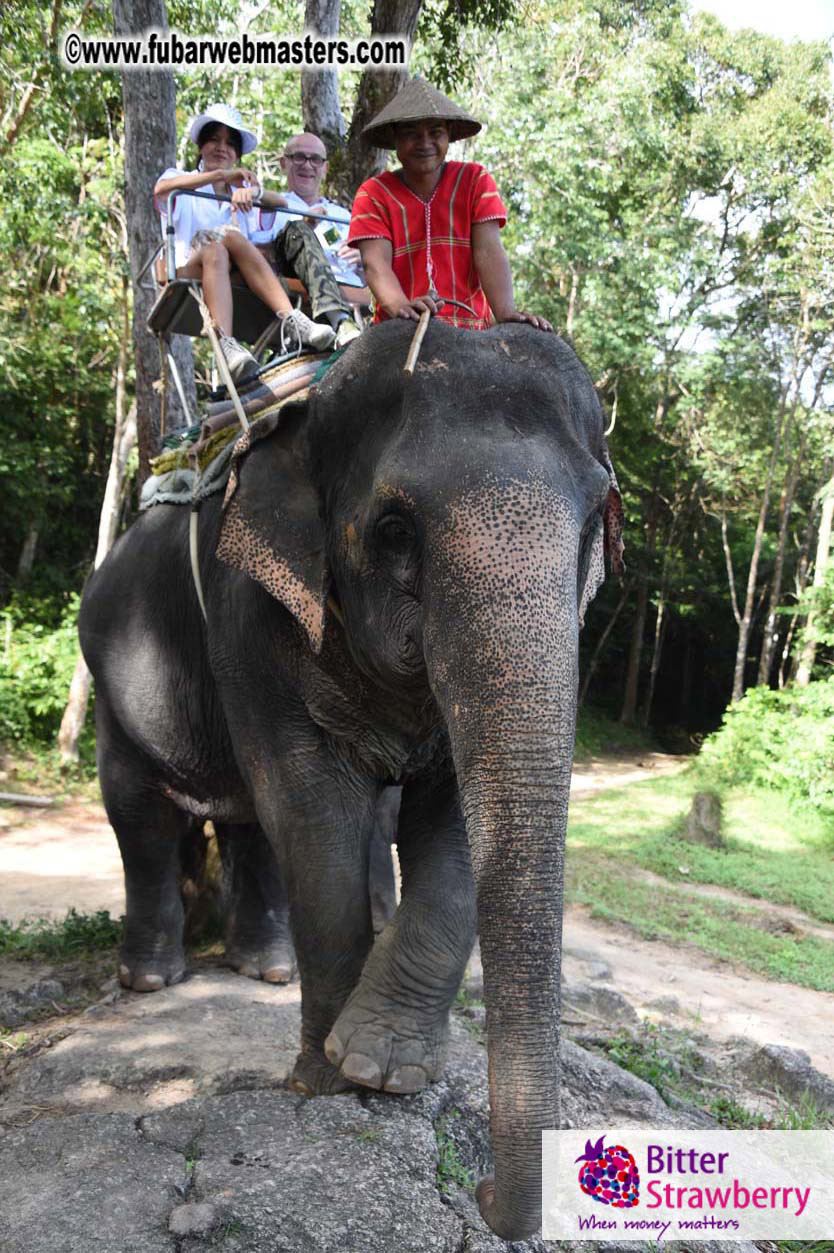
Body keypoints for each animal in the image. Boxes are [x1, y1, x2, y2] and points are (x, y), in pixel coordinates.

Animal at [79, 318, 623, 1241]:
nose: (483, 1195)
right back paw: (154, 979)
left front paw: (384, 1064)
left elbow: (450, 821)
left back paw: (265, 968)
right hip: (115, 677)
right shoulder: (248, 603)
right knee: (145, 817)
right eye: (395, 528)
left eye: (594, 520)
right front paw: (330, 1081)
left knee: (249, 823)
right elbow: (313, 801)